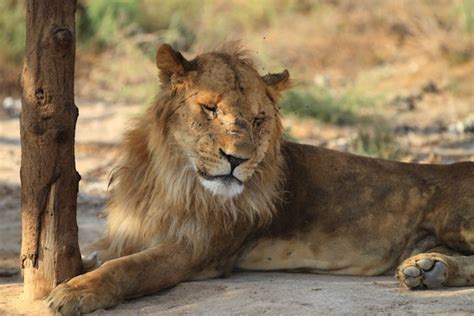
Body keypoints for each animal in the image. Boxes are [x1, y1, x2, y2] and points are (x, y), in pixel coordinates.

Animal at [47, 43, 474, 314]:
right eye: (210, 109)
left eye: (257, 119)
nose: (237, 159)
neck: (173, 178)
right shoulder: (129, 233)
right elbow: (95, 255)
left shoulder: (196, 250)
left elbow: (127, 268)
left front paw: (72, 293)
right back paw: (428, 268)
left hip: (457, 220)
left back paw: (429, 270)